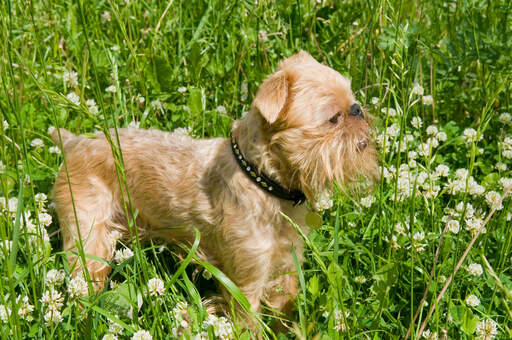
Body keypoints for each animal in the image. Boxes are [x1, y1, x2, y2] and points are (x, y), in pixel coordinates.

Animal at [51, 50, 380, 324]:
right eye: (333, 119)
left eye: (352, 101)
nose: (357, 109)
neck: (264, 182)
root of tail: (74, 142)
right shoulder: (247, 280)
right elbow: (249, 321)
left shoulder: (286, 264)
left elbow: (283, 308)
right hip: (87, 234)